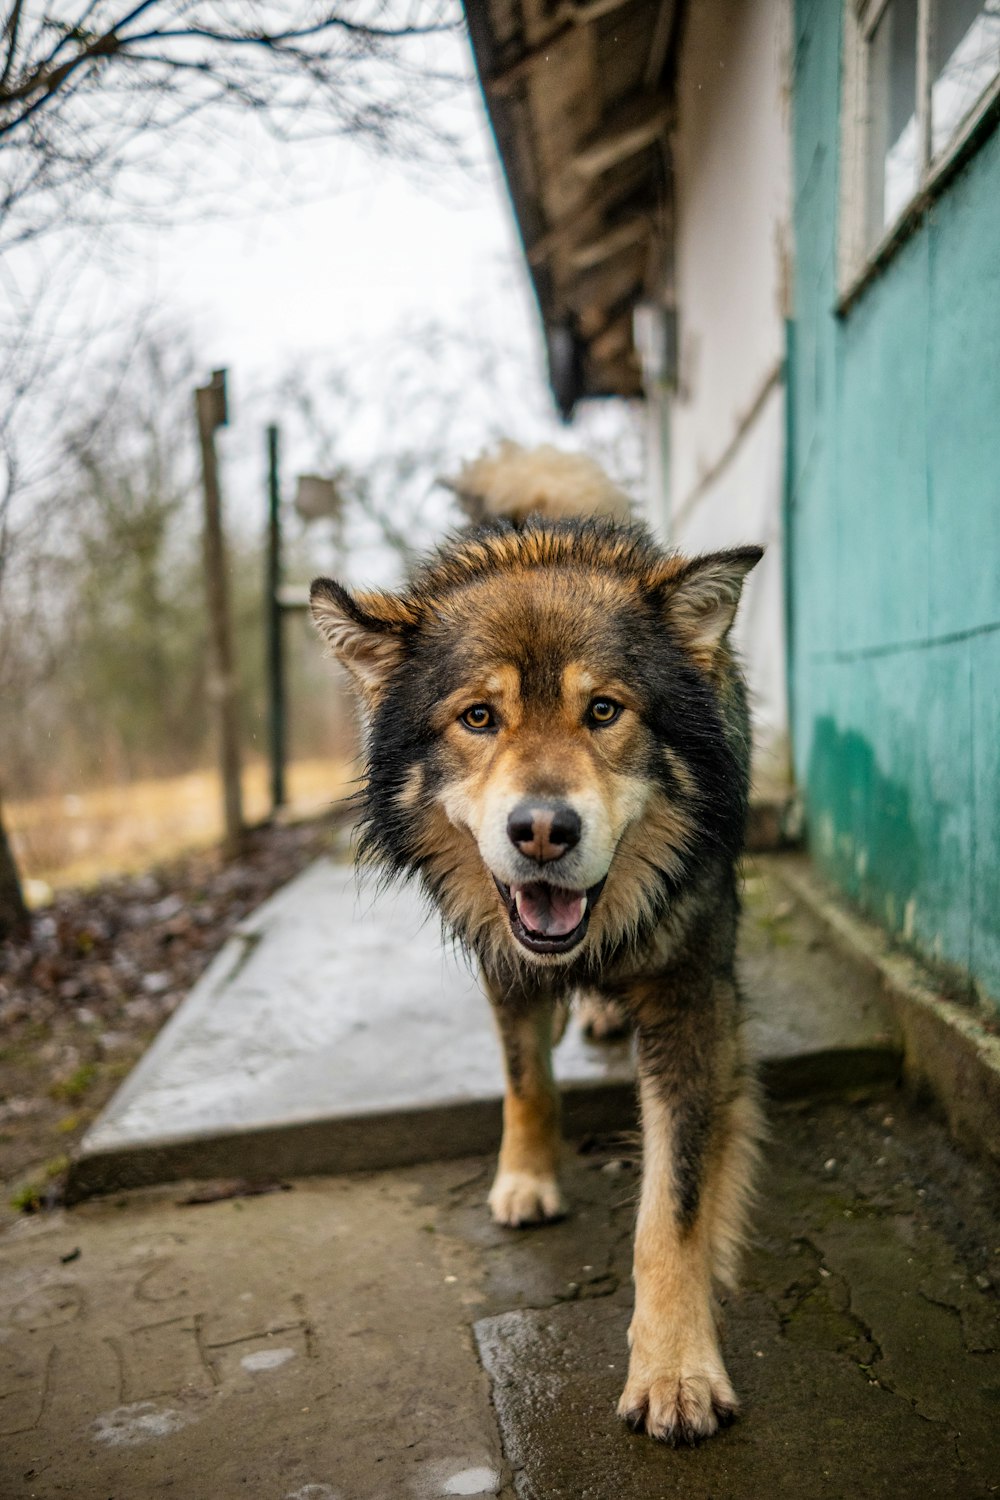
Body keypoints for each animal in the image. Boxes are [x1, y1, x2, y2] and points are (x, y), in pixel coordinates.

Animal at [313, 441, 767, 1440]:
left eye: (604, 712)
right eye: (479, 718)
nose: (543, 832)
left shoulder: (693, 997)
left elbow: (672, 1208)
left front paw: (675, 1368)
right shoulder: (502, 959)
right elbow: (526, 1081)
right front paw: (525, 1175)